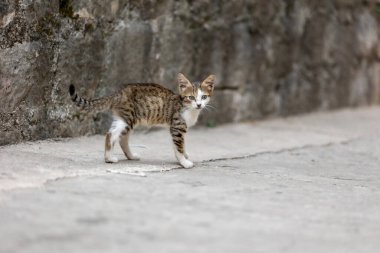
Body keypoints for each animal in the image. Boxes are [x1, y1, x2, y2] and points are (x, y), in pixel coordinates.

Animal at [68, 73, 215, 168]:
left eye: (204, 97)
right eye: (191, 97)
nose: (199, 105)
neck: (187, 108)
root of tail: (118, 93)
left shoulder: (179, 129)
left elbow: (180, 145)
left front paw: (184, 155)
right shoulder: (177, 126)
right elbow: (178, 146)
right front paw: (184, 162)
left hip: (124, 119)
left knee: (121, 138)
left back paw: (131, 156)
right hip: (127, 119)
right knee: (111, 135)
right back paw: (109, 158)